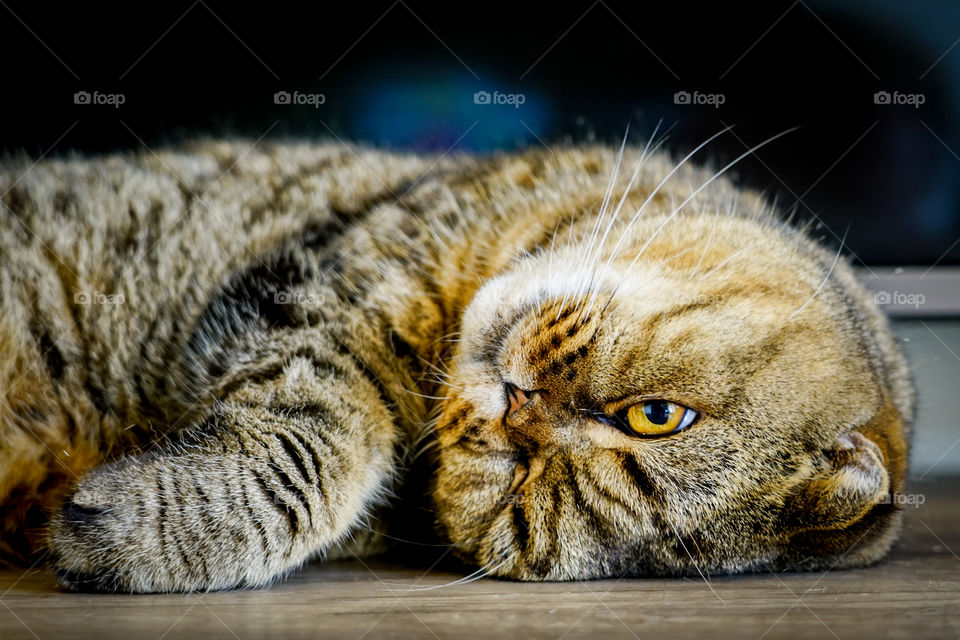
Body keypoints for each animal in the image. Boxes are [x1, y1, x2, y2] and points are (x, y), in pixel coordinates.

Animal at [0, 132, 912, 592]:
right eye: (658, 416)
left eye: (520, 494)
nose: (518, 407)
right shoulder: (335, 285)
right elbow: (318, 442)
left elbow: (319, 469)